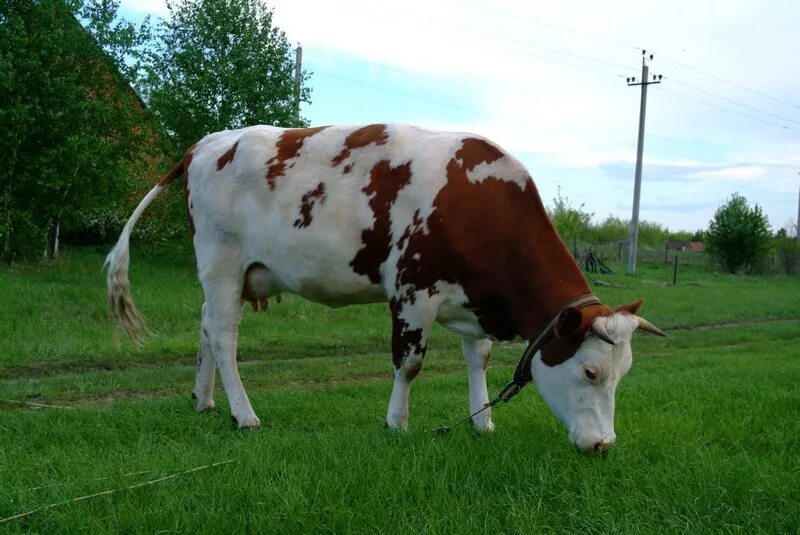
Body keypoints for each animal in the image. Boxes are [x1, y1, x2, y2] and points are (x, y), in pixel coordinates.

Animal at [108, 122, 668, 452]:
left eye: (623, 374)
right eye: (591, 371)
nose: (604, 444)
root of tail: (205, 143)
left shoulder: (470, 300)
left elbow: (479, 359)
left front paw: (483, 423)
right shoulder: (413, 292)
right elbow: (410, 363)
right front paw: (397, 424)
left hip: (223, 274)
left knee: (206, 327)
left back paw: (204, 401)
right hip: (221, 262)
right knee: (224, 337)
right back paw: (244, 415)